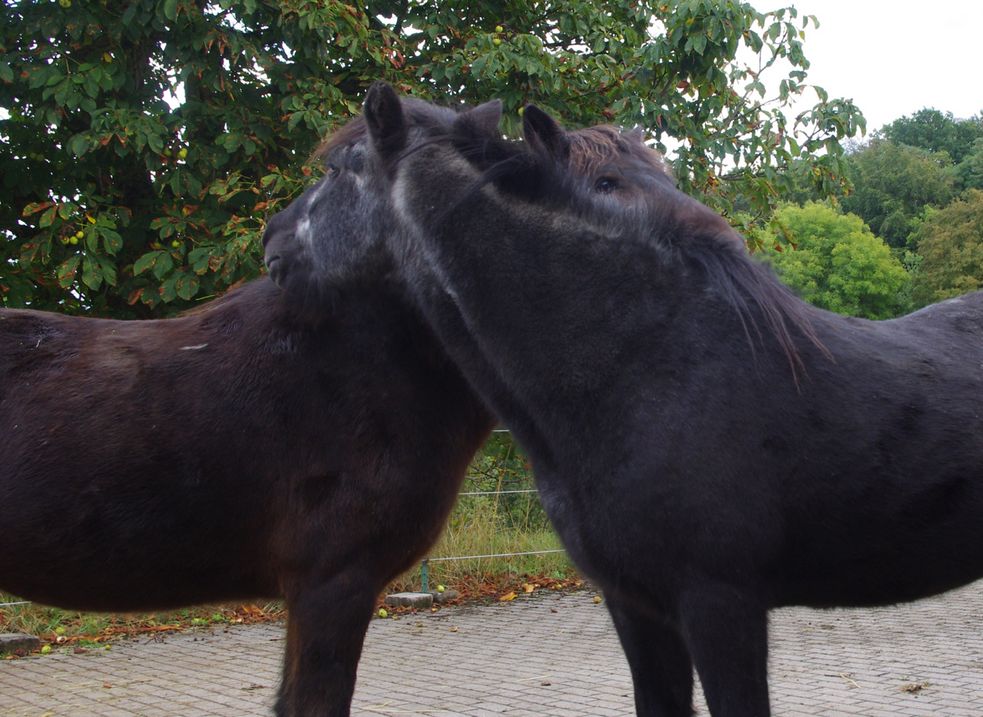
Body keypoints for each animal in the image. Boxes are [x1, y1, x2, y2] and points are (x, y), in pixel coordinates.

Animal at [266, 84, 983, 716]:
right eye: (608, 181)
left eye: (336, 169)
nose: (272, 238)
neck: (644, 367)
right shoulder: (634, 606)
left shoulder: (721, 604)